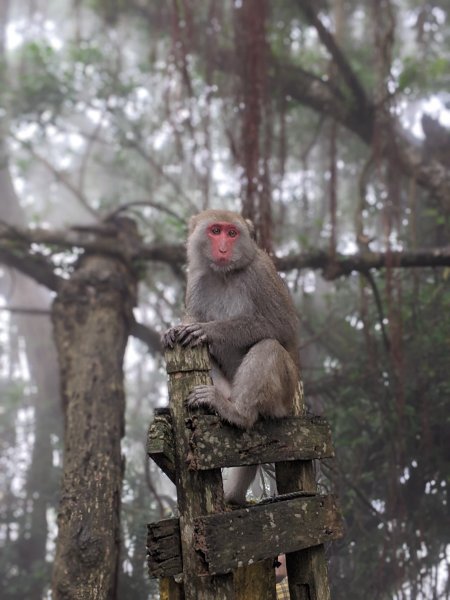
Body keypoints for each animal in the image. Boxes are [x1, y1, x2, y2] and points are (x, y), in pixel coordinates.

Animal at [162, 209, 298, 504]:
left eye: (232, 233)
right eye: (215, 231)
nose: (223, 248)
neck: (224, 274)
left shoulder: (260, 273)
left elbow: (281, 325)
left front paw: (208, 330)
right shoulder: (197, 281)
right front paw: (174, 330)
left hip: (283, 395)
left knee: (268, 346)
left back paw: (238, 413)